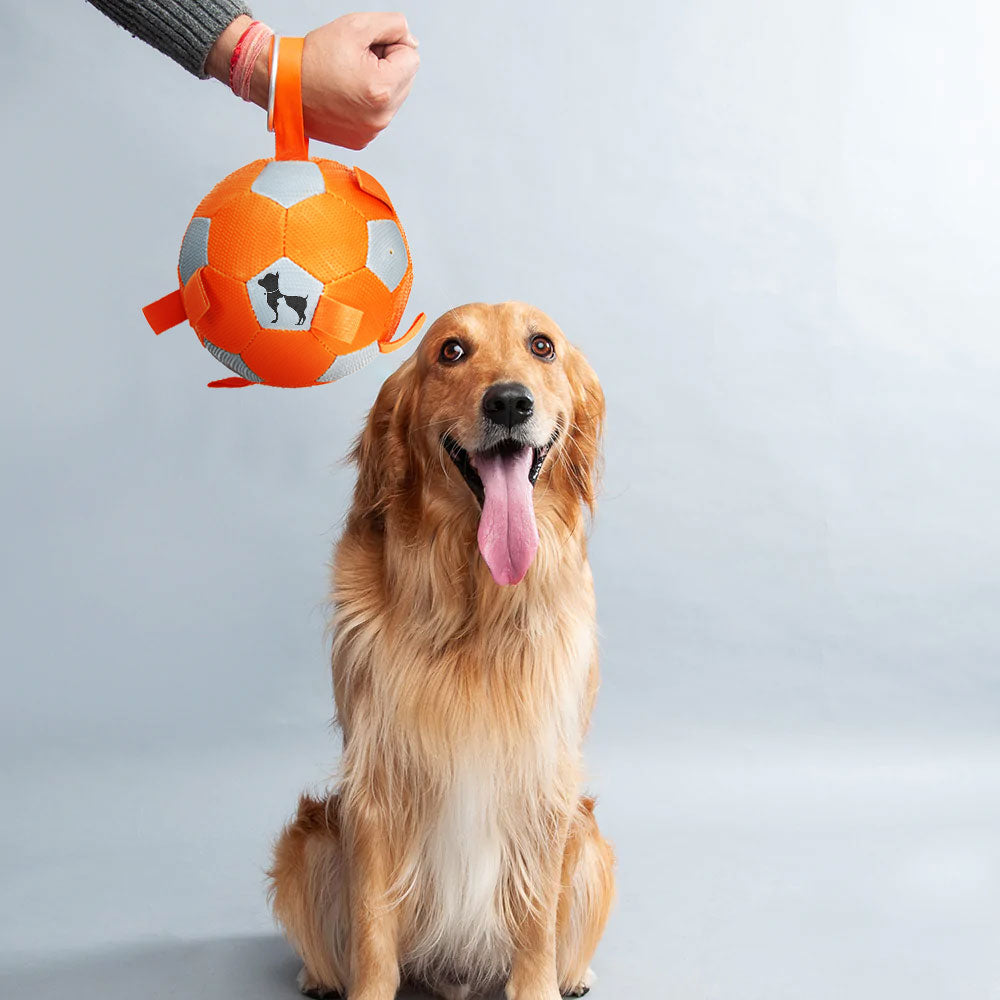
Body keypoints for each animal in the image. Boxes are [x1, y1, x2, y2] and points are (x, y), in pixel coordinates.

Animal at [274, 300, 612, 1000]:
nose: (508, 401)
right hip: (308, 840)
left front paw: (538, 987)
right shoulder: (377, 776)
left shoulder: (544, 776)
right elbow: (373, 934)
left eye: (542, 346)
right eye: (451, 352)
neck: (475, 608)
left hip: (592, 841)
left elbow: (536, 923)